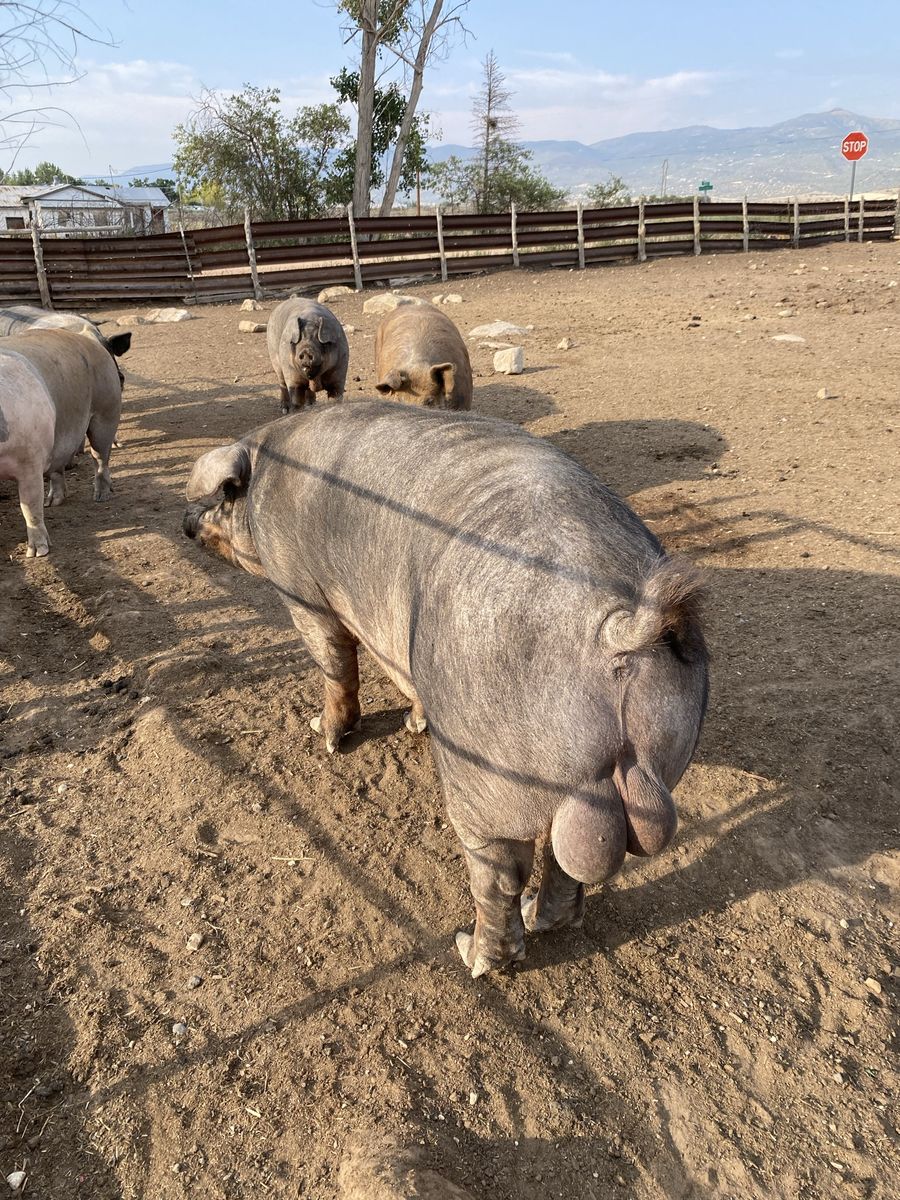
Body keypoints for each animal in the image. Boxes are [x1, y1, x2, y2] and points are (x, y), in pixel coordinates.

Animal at [0, 330, 122, 549]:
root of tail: (89, 338)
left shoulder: (30, 460)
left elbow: (30, 505)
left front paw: (38, 551)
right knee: (57, 470)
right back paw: (52, 503)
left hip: (107, 410)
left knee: (100, 456)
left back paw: (101, 497)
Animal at [183, 401, 708, 977]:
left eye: (220, 497)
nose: (184, 524)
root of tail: (618, 629)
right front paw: (413, 722)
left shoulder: (301, 591)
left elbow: (335, 662)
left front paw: (324, 734)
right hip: (647, 756)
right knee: (565, 865)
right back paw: (539, 917)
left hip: (484, 775)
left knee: (500, 872)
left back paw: (471, 954)